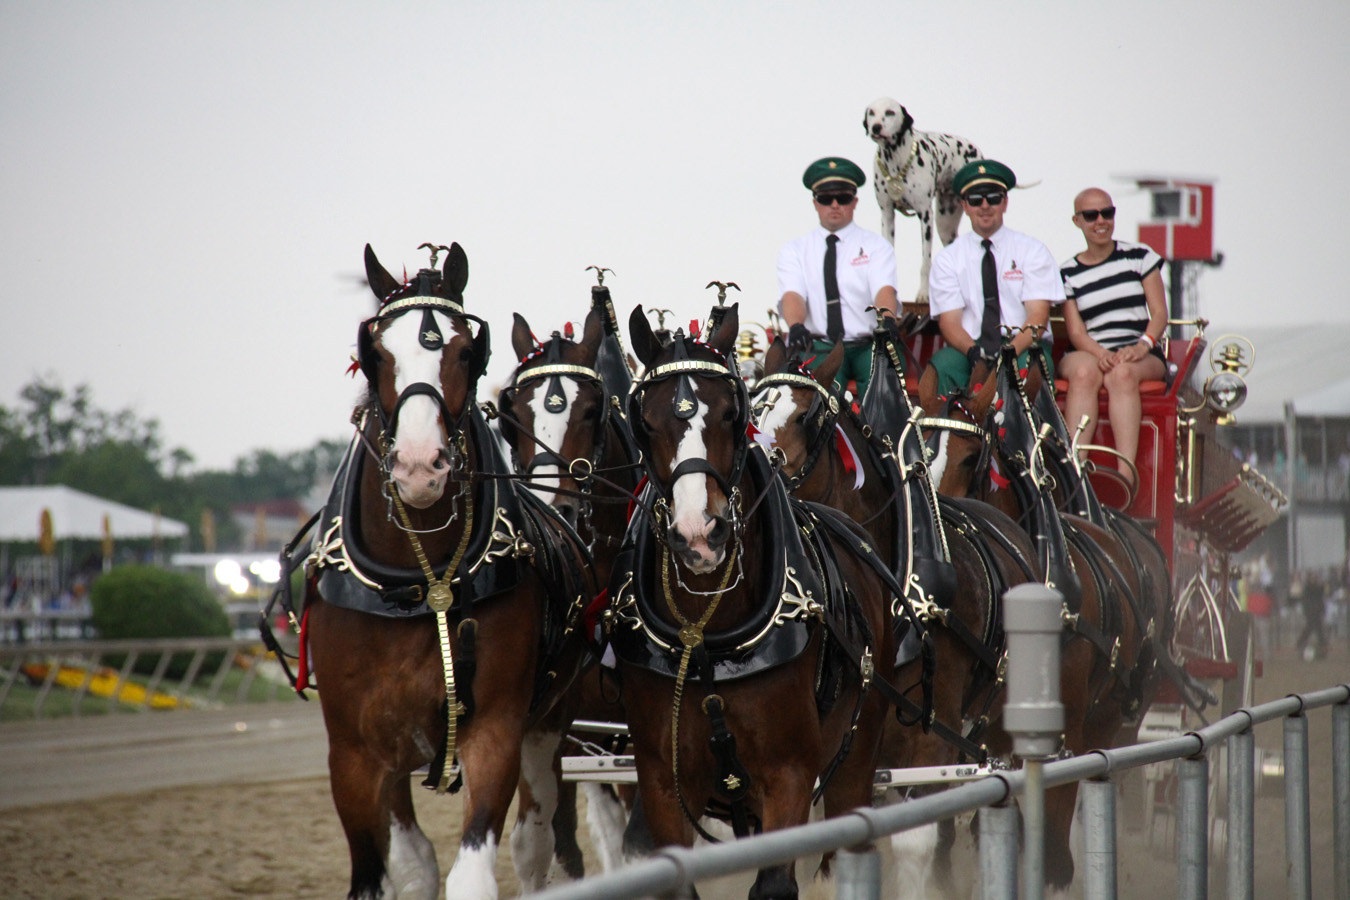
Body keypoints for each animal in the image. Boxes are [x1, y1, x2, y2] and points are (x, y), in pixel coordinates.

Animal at [303, 244, 594, 900]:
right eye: (375, 352)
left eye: (465, 351)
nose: (419, 467)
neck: (421, 583)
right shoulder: (353, 755)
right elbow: (393, 872)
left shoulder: (496, 730)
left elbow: (475, 873)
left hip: (550, 723)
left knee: (537, 840)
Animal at [612, 304, 896, 900]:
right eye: (645, 420)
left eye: (728, 412)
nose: (699, 535)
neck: (704, 639)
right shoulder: (662, 779)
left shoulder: (789, 773)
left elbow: (774, 884)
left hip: (856, 755)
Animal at [864, 97, 982, 304]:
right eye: (871, 112)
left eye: (890, 112)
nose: (876, 127)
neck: (896, 161)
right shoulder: (887, 215)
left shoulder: (925, 216)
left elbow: (925, 262)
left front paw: (923, 294)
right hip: (945, 225)